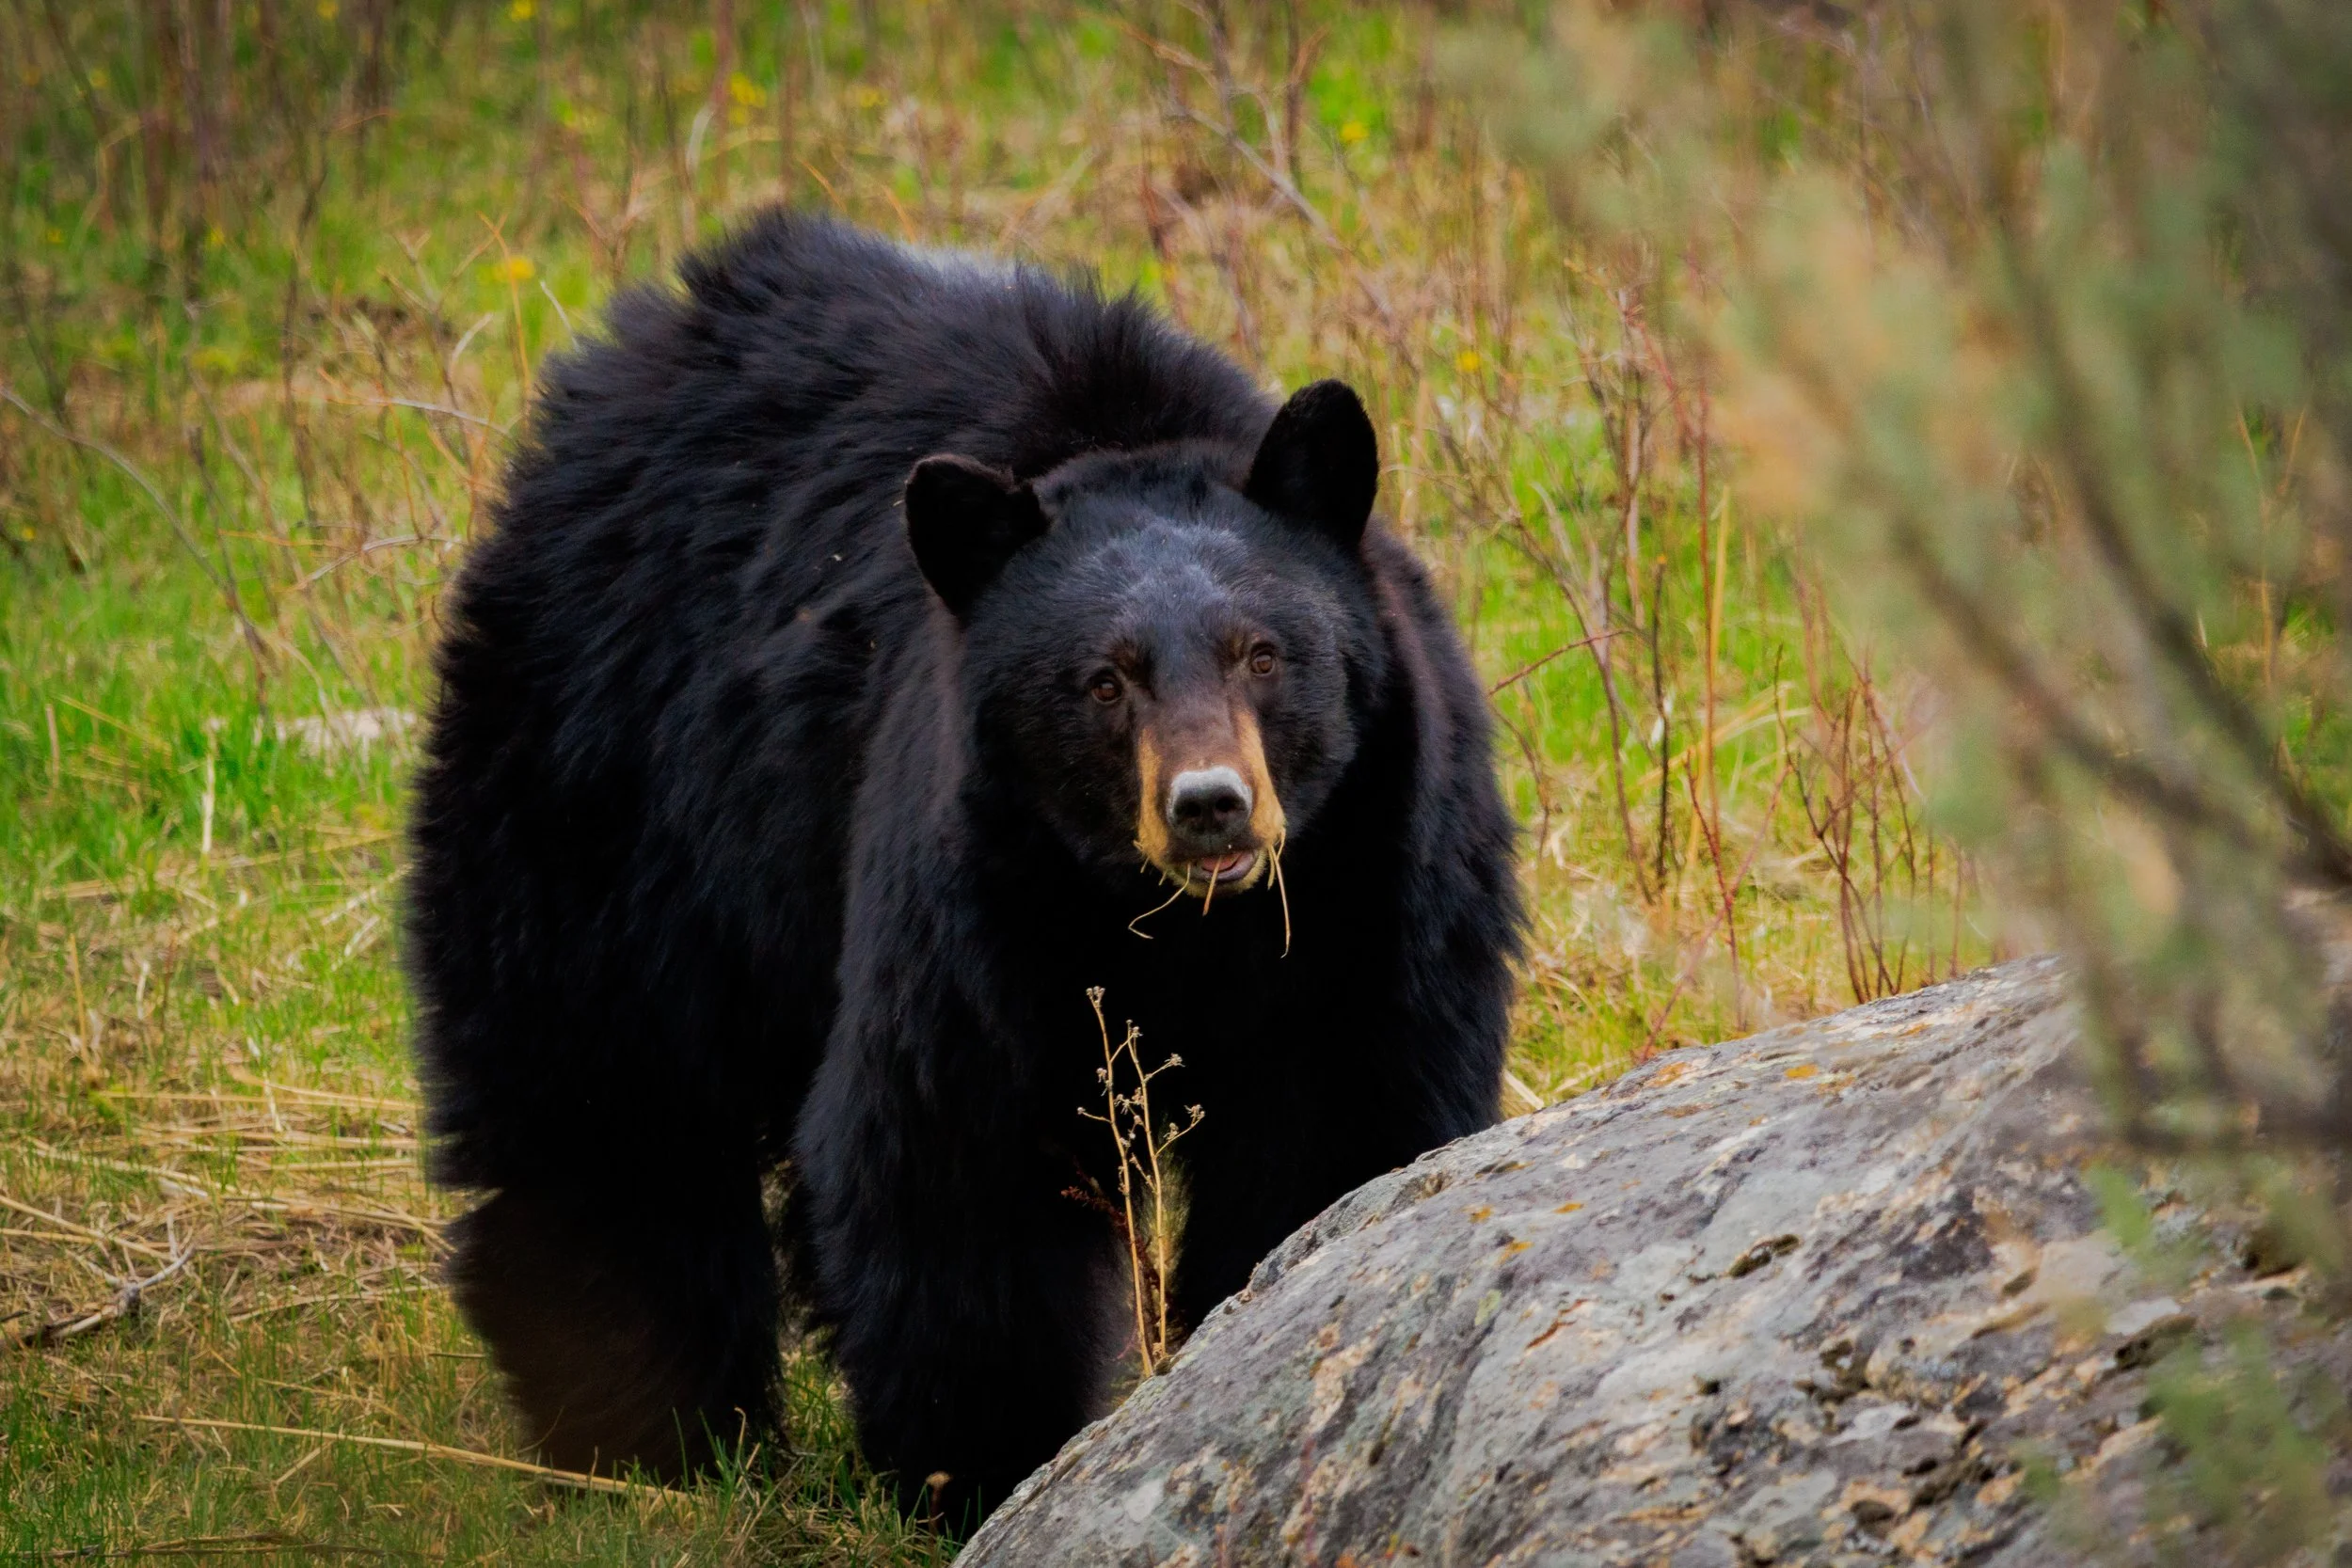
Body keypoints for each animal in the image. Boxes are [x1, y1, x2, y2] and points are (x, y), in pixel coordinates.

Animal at [404, 209, 1521, 1523]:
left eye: (1263, 653)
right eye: (1103, 680)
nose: (1209, 808)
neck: (1180, 924)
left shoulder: (1378, 875)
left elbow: (1339, 1119)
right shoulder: (974, 886)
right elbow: (956, 1149)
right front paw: (983, 1463)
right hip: (610, 764)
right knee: (604, 1076)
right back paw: (648, 1426)